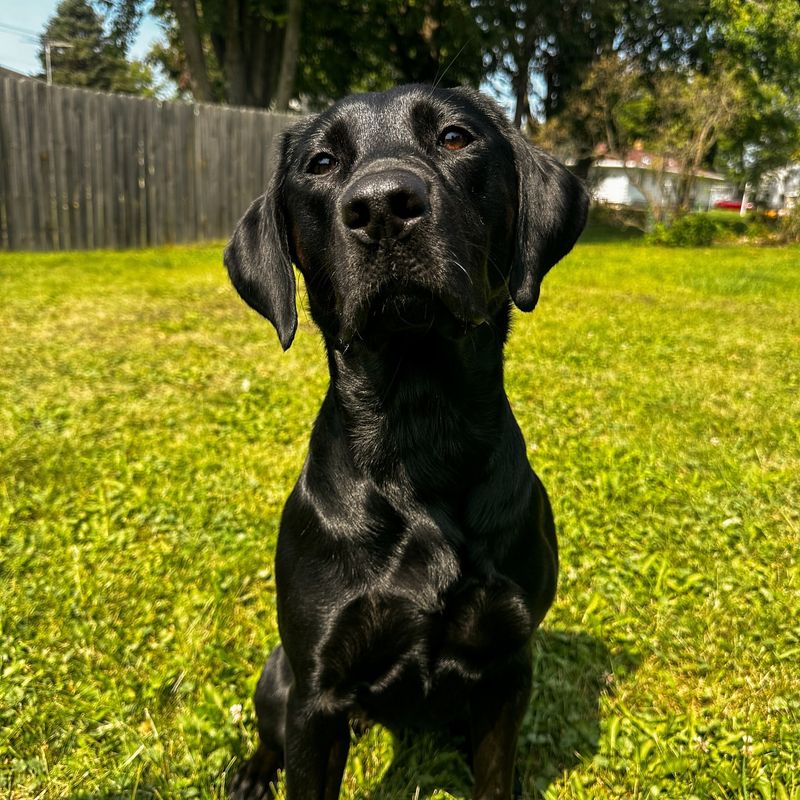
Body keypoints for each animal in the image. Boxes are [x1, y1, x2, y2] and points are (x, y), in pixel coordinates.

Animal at [225, 84, 588, 796]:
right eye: (321, 162)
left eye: (454, 136)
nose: (383, 207)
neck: (422, 427)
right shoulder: (317, 695)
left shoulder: (508, 666)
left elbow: (494, 774)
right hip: (278, 674)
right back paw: (253, 770)